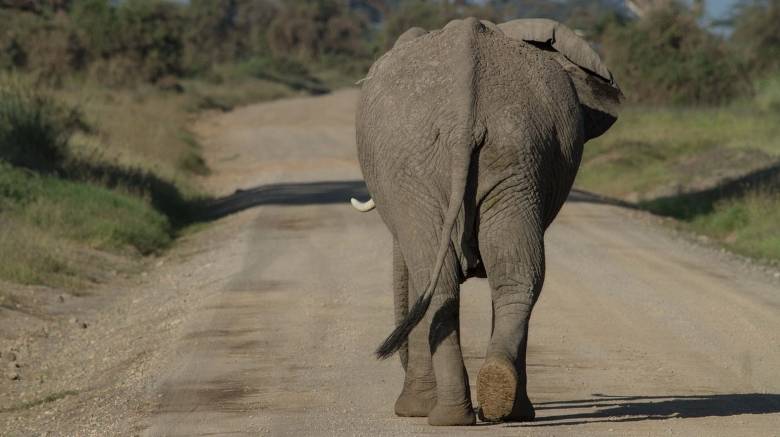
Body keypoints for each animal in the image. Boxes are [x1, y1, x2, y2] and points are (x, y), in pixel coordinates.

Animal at [354, 18, 620, 424]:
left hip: (421, 166)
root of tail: (465, 111)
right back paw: (502, 402)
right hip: (517, 152)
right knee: (516, 274)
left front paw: (411, 411)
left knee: (439, 281)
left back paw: (446, 415)